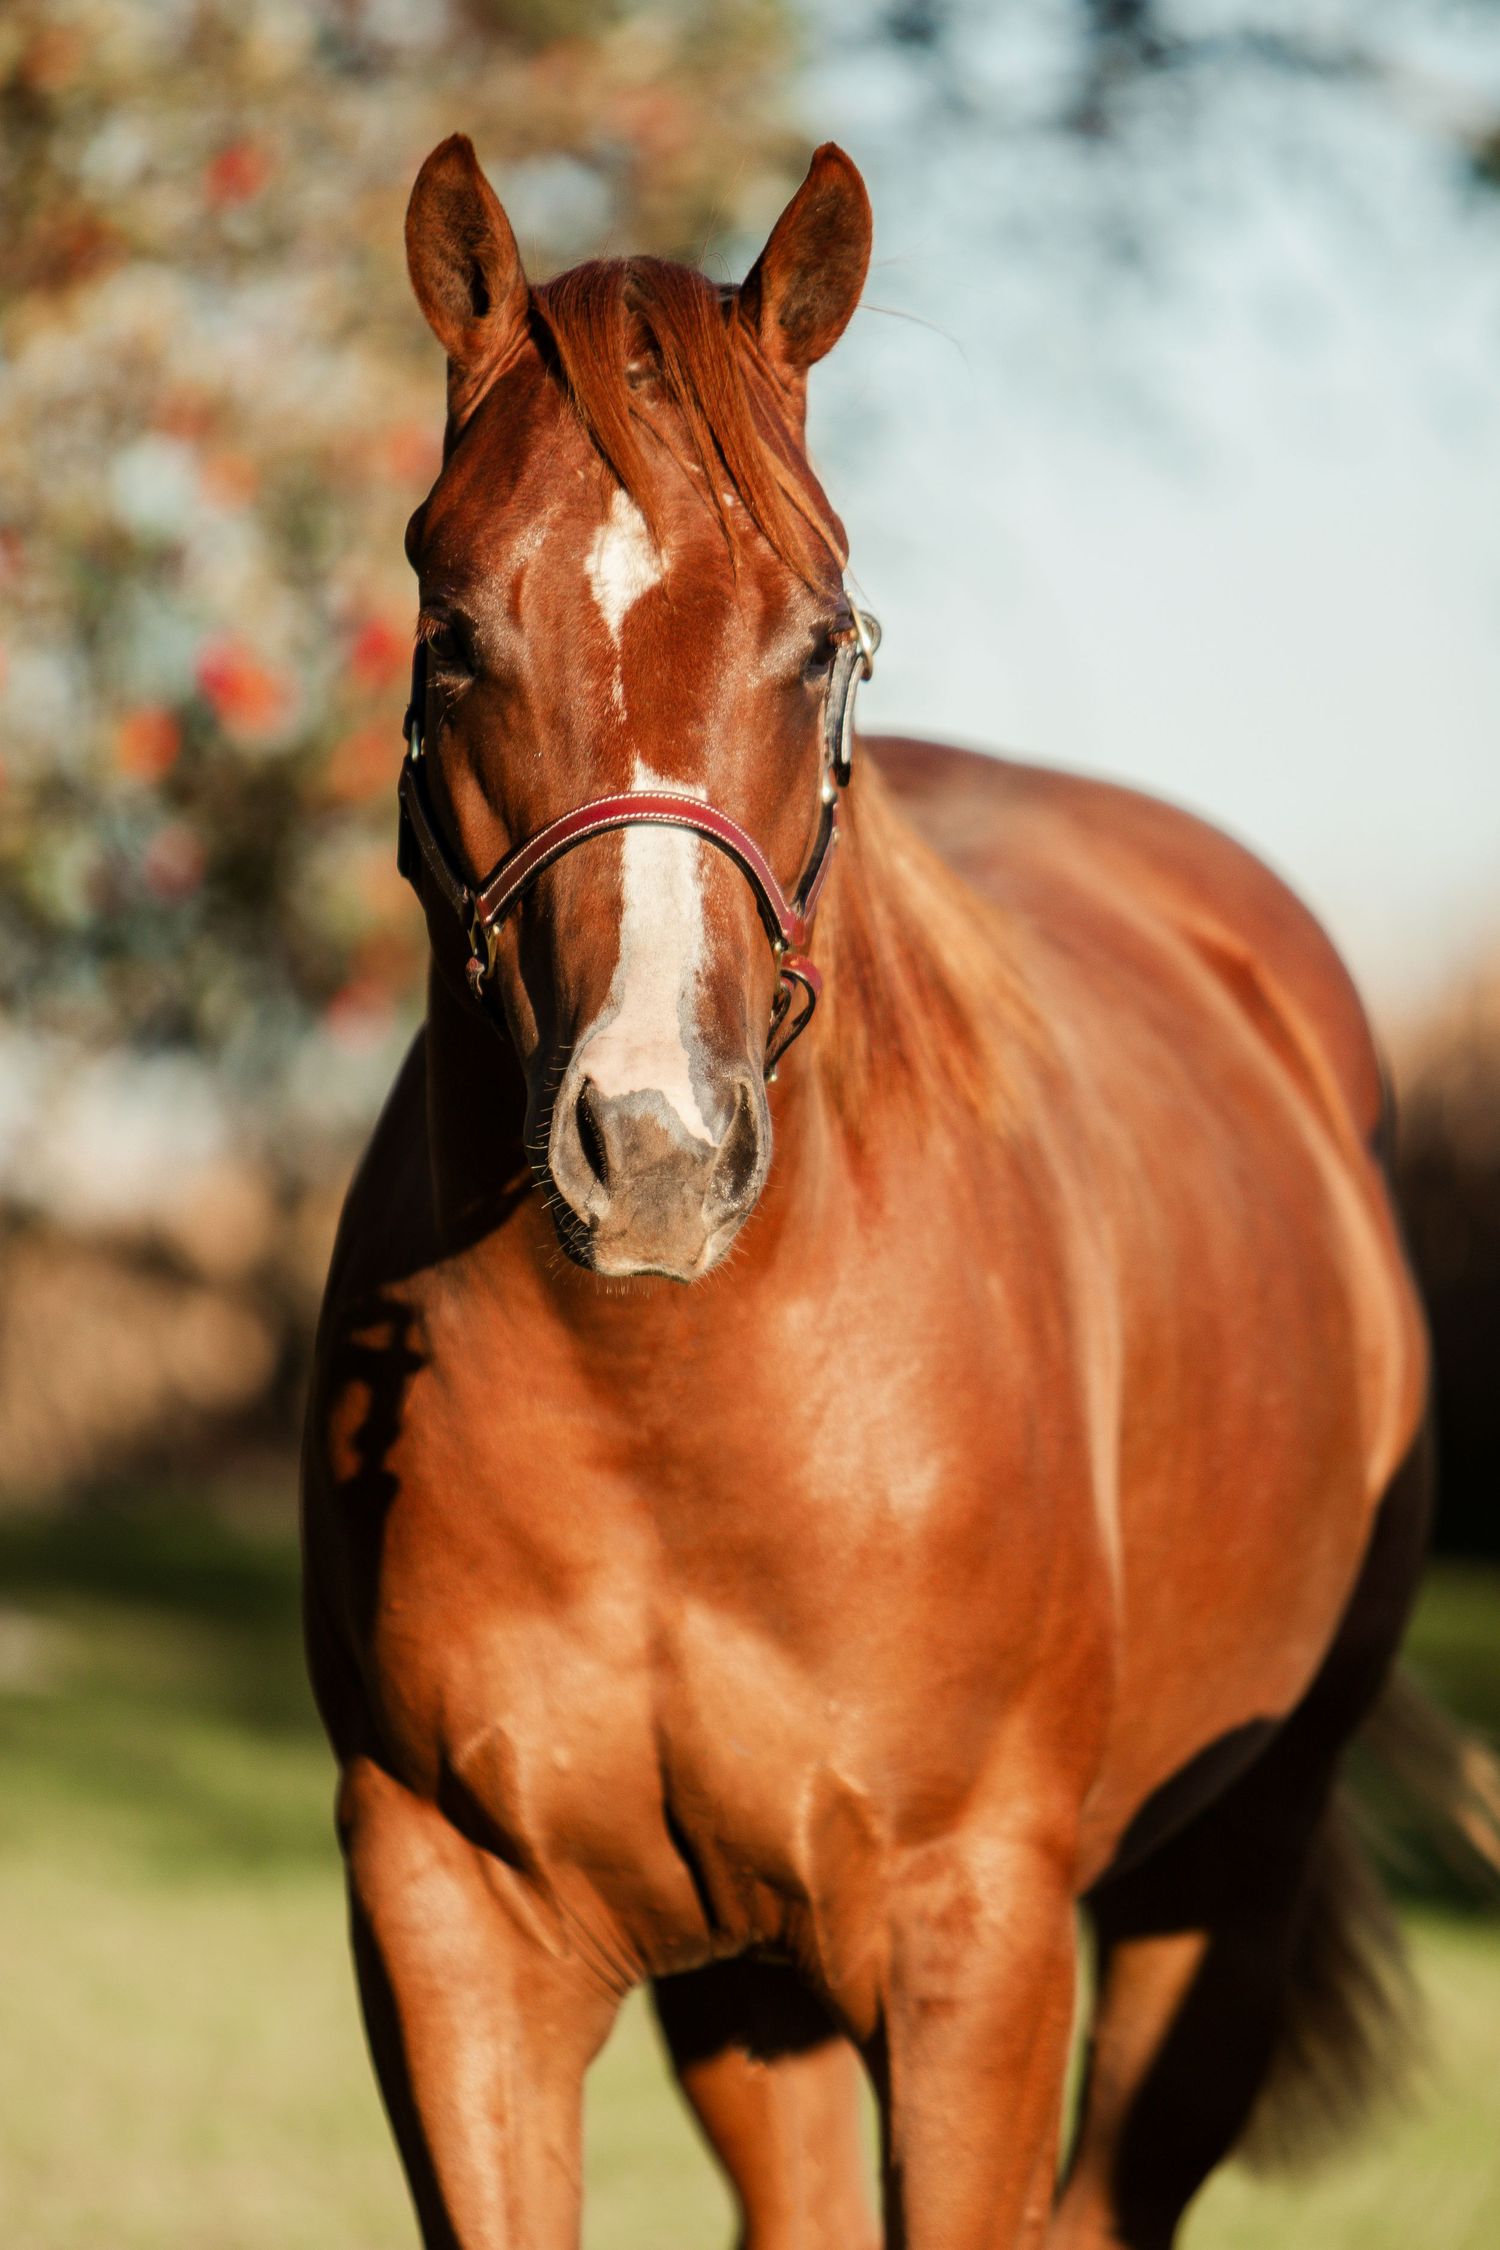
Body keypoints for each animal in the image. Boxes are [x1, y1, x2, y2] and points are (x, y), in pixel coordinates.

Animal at [302, 136, 1434, 2249]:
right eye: (453, 635)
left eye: (821, 637)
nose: (654, 1150)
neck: (674, 1415)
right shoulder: (448, 1930)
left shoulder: (972, 1940)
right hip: (755, 1995)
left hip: (1219, 1890)